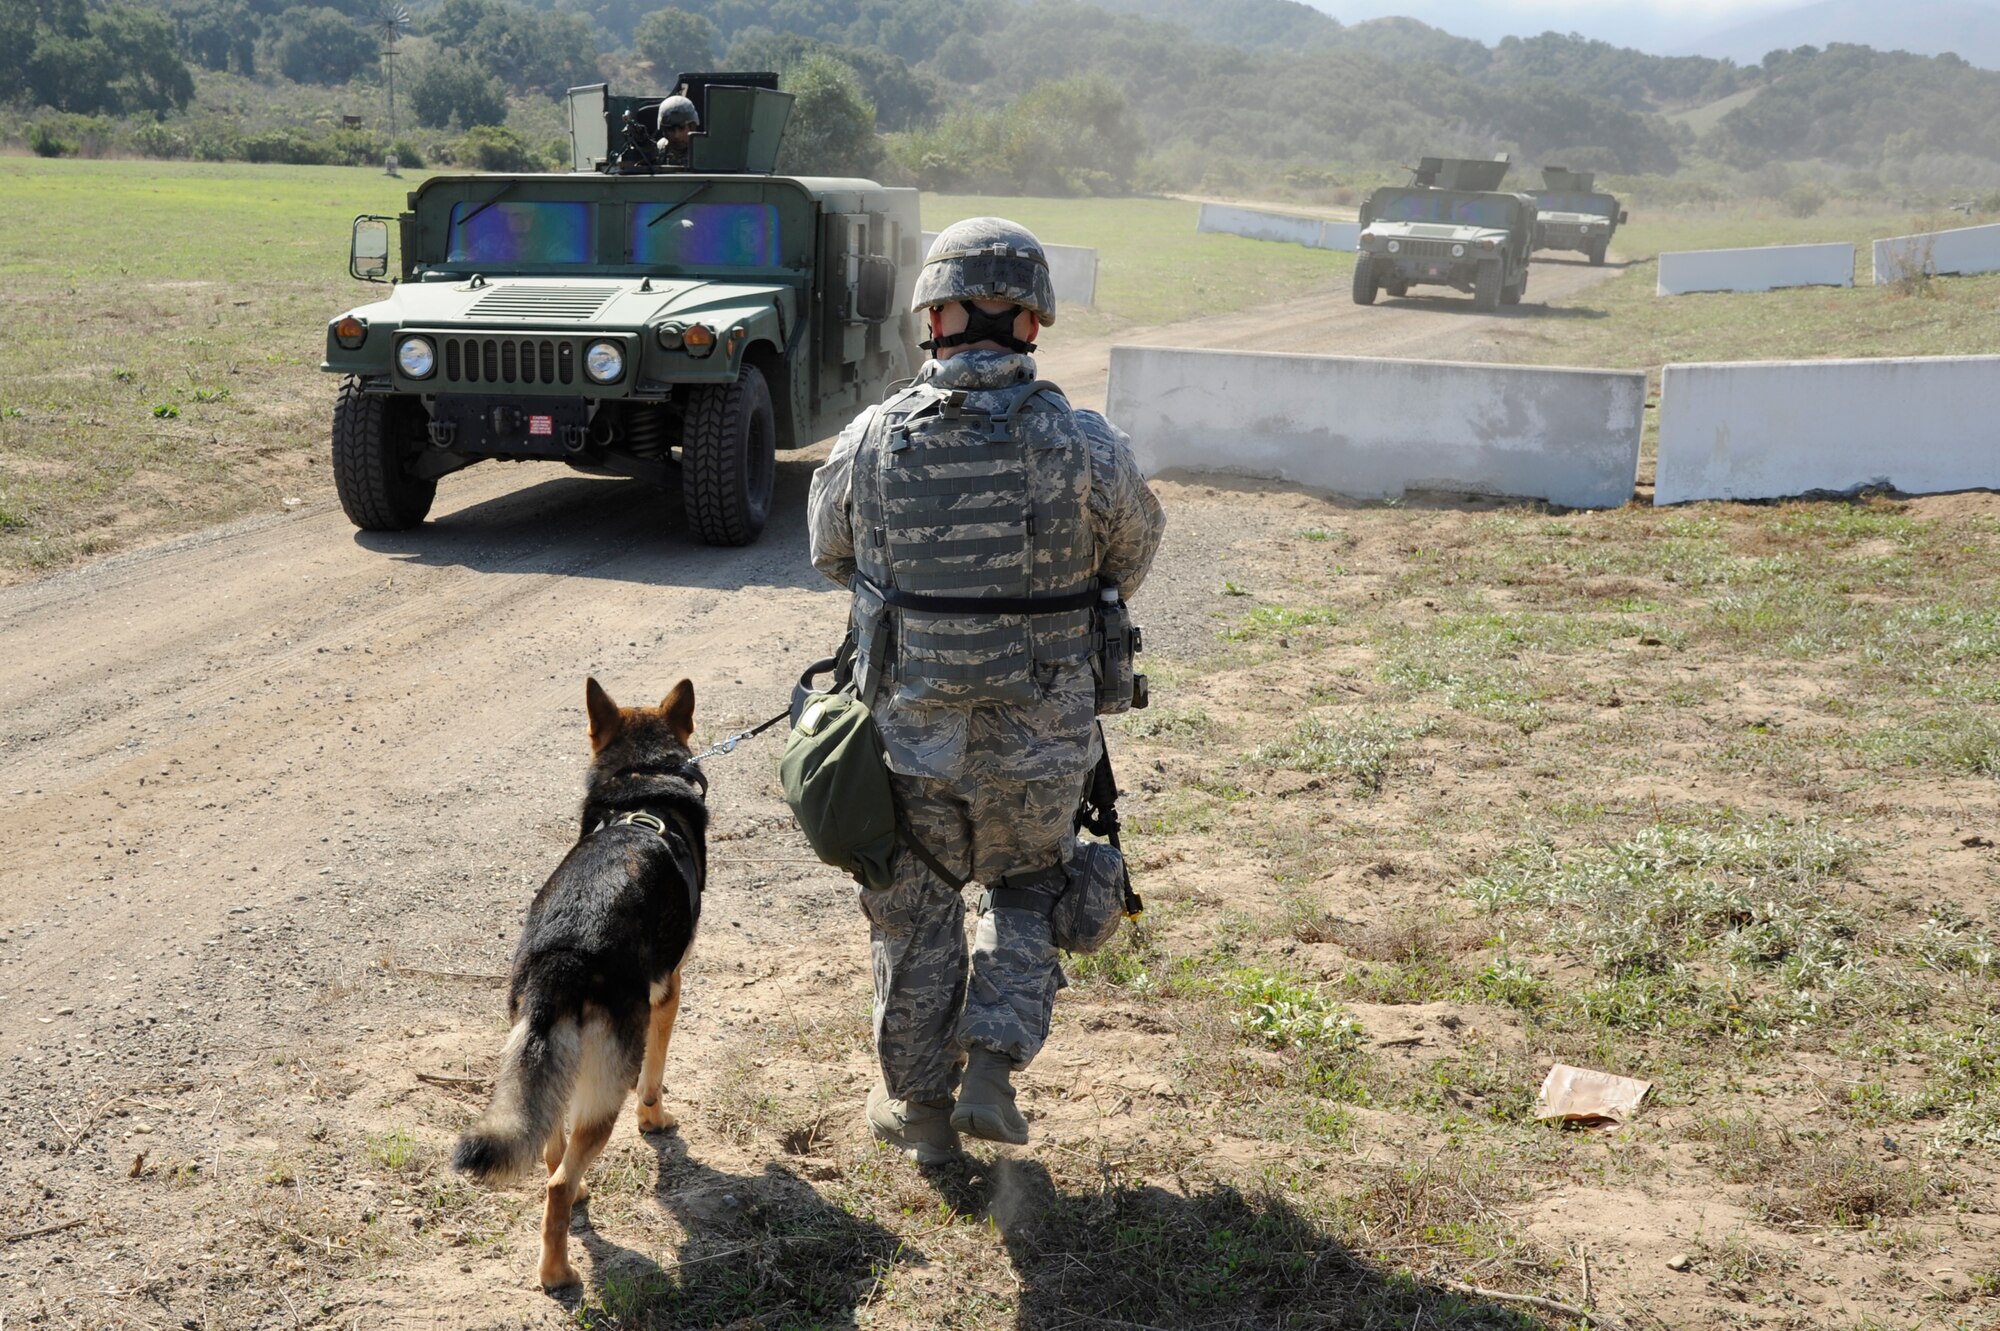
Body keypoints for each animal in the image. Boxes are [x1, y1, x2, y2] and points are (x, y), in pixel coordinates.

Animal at [454, 675, 712, 1287]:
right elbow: (654, 1079)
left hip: (546, 1063)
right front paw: (656, 1121)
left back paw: (579, 1204)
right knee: (556, 1181)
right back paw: (557, 1274)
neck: (640, 788)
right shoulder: (670, 993)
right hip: (603, 1087)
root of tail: (564, 958)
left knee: (553, 1154)